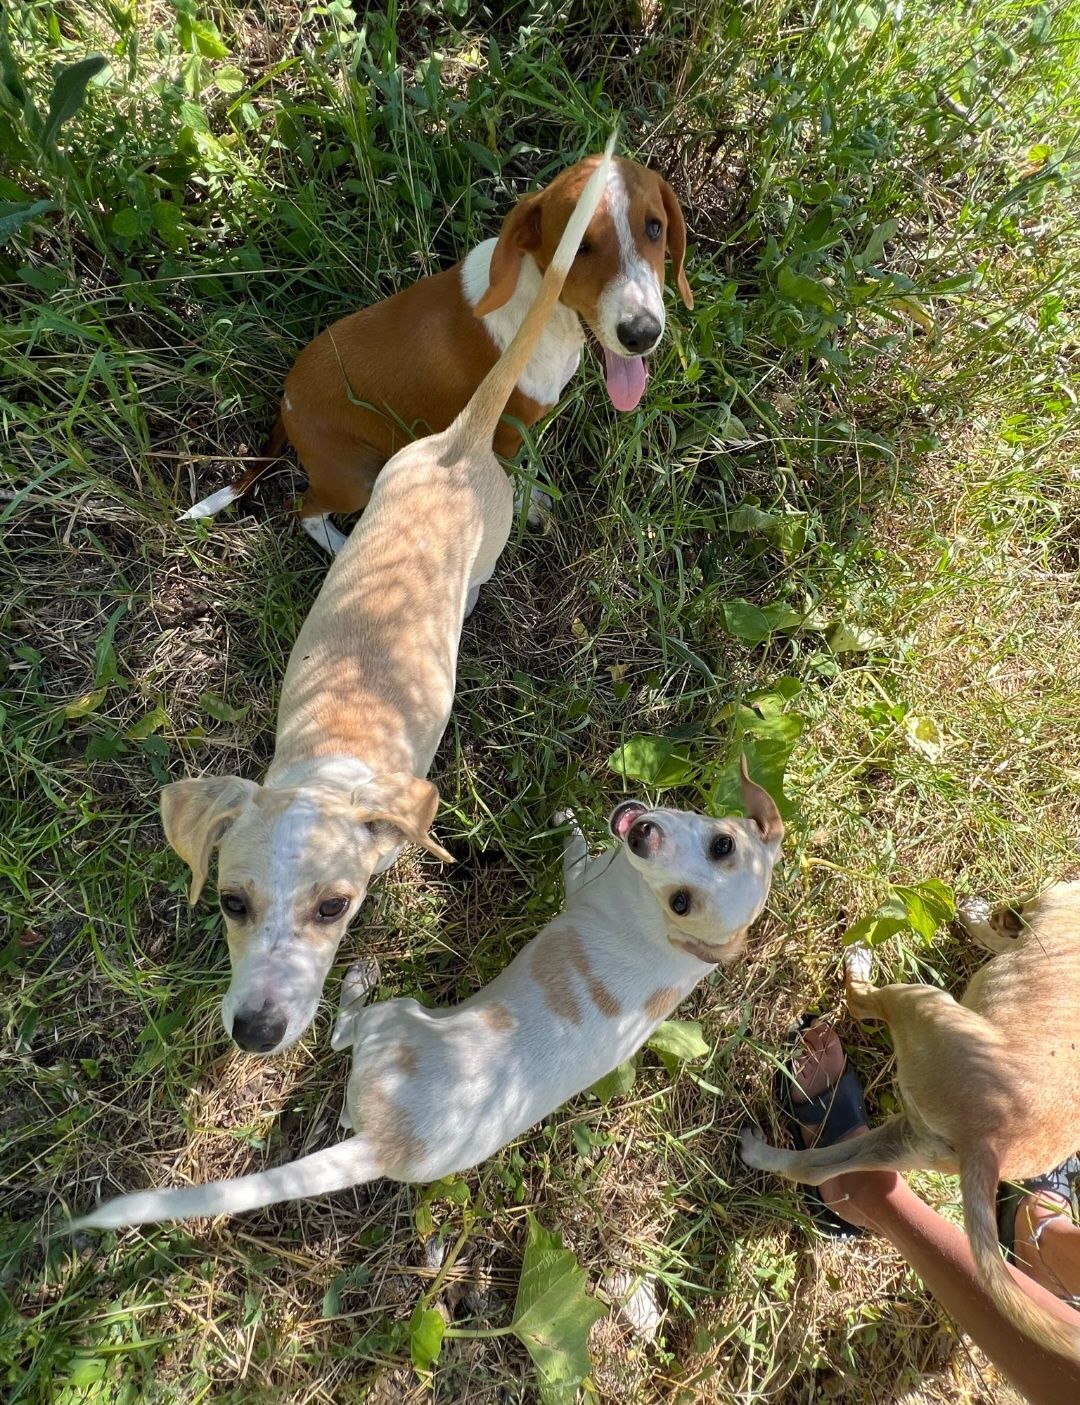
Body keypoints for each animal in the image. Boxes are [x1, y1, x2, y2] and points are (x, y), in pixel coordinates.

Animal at [69, 764, 786, 1236]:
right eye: (722, 843)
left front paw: (568, 819)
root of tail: (388, 1145)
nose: (642, 836)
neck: (677, 935)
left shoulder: (586, 877)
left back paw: (357, 980)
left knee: (344, 1032)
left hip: (396, 1014)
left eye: (682, 900)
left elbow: (576, 847)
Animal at [179, 152, 690, 547]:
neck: (541, 309)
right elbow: (512, 480)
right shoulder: (502, 436)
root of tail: (287, 401)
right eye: (578, 245)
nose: (642, 333)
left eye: (655, 228)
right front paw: (526, 507)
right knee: (301, 510)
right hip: (354, 479)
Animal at [735, 887, 1078, 1360]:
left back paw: (857, 960)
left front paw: (977, 916)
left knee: (860, 1000)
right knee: (814, 1167)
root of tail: (991, 1142)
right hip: (909, 1141)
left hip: (918, 1004)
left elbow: (994, 933)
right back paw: (757, 1153)